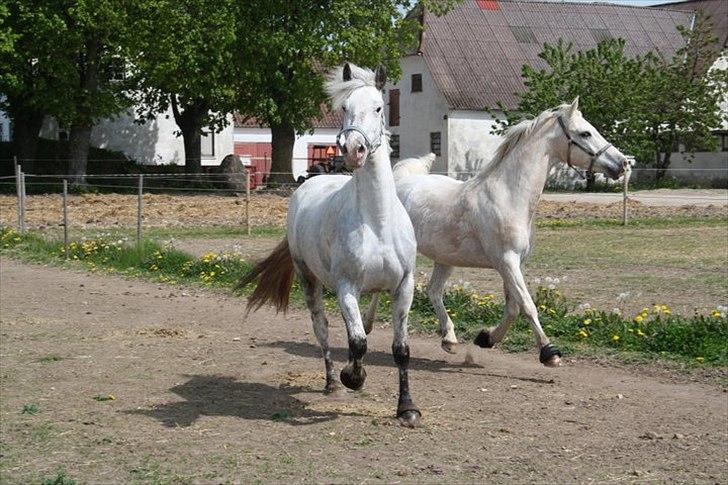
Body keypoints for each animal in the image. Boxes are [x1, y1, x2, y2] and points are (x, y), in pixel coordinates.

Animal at [239, 63, 420, 424]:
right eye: (345, 108)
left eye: (378, 107)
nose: (353, 150)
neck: (377, 222)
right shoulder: (345, 287)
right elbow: (357, 342)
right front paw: (352, 378)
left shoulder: (403, 286)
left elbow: (400, 349)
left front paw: (407, 408)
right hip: (309, 280)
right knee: (322, 328)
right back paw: (332, 383)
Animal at [372, 99, 628, 366]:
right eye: (585, 133)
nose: (622, 163)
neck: (508, 197)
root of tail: (399, 183)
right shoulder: (507, 261)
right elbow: (527, 305)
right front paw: (549, 353)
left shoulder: (514, 263)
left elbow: (513, 307)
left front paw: (486, 338)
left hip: (445, 258)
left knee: (433, 290)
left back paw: (448, 339)